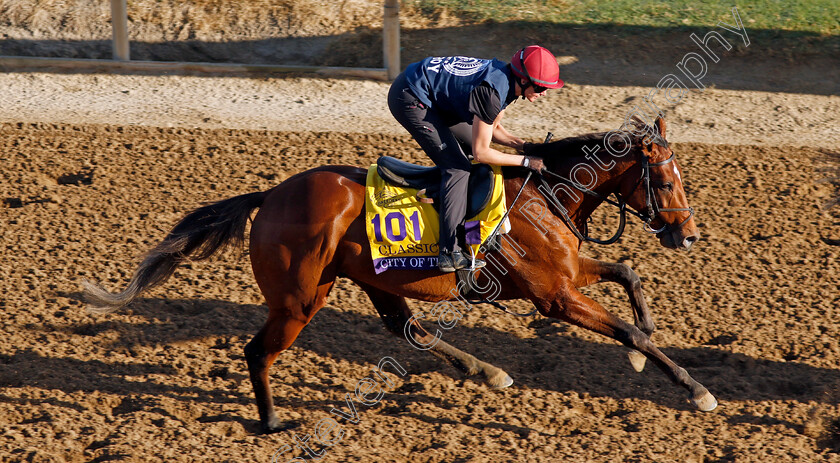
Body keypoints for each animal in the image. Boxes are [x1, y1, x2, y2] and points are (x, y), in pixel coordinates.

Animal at [83, 116, 716, 436]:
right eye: (665, 177)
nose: (687, 235)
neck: (546, 193)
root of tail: (272, 196)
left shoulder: (566, 274)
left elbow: (628, 273)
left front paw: (644, 348)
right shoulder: (553, 295)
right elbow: (625, 325)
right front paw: (696, 389)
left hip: (368, 279)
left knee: (405, 328)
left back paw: (486, 371)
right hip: (299, 299)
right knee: (258, 351)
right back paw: (271, 421)